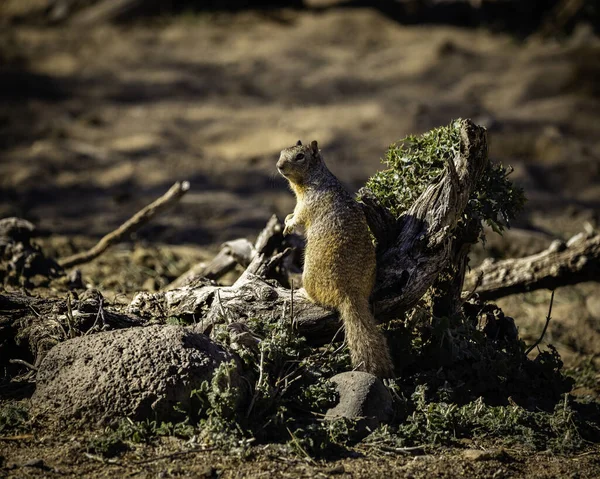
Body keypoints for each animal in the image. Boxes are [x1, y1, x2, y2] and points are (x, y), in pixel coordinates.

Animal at [276, 140, 394, 378]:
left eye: (300, 156)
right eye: (282, 152)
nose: (279, 165)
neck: (314, 178)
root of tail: (350, 293)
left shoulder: (307, 204)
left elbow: (299, 216)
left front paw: (289, 224)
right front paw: (286, 219)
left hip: (309, 274)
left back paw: (302, 293)